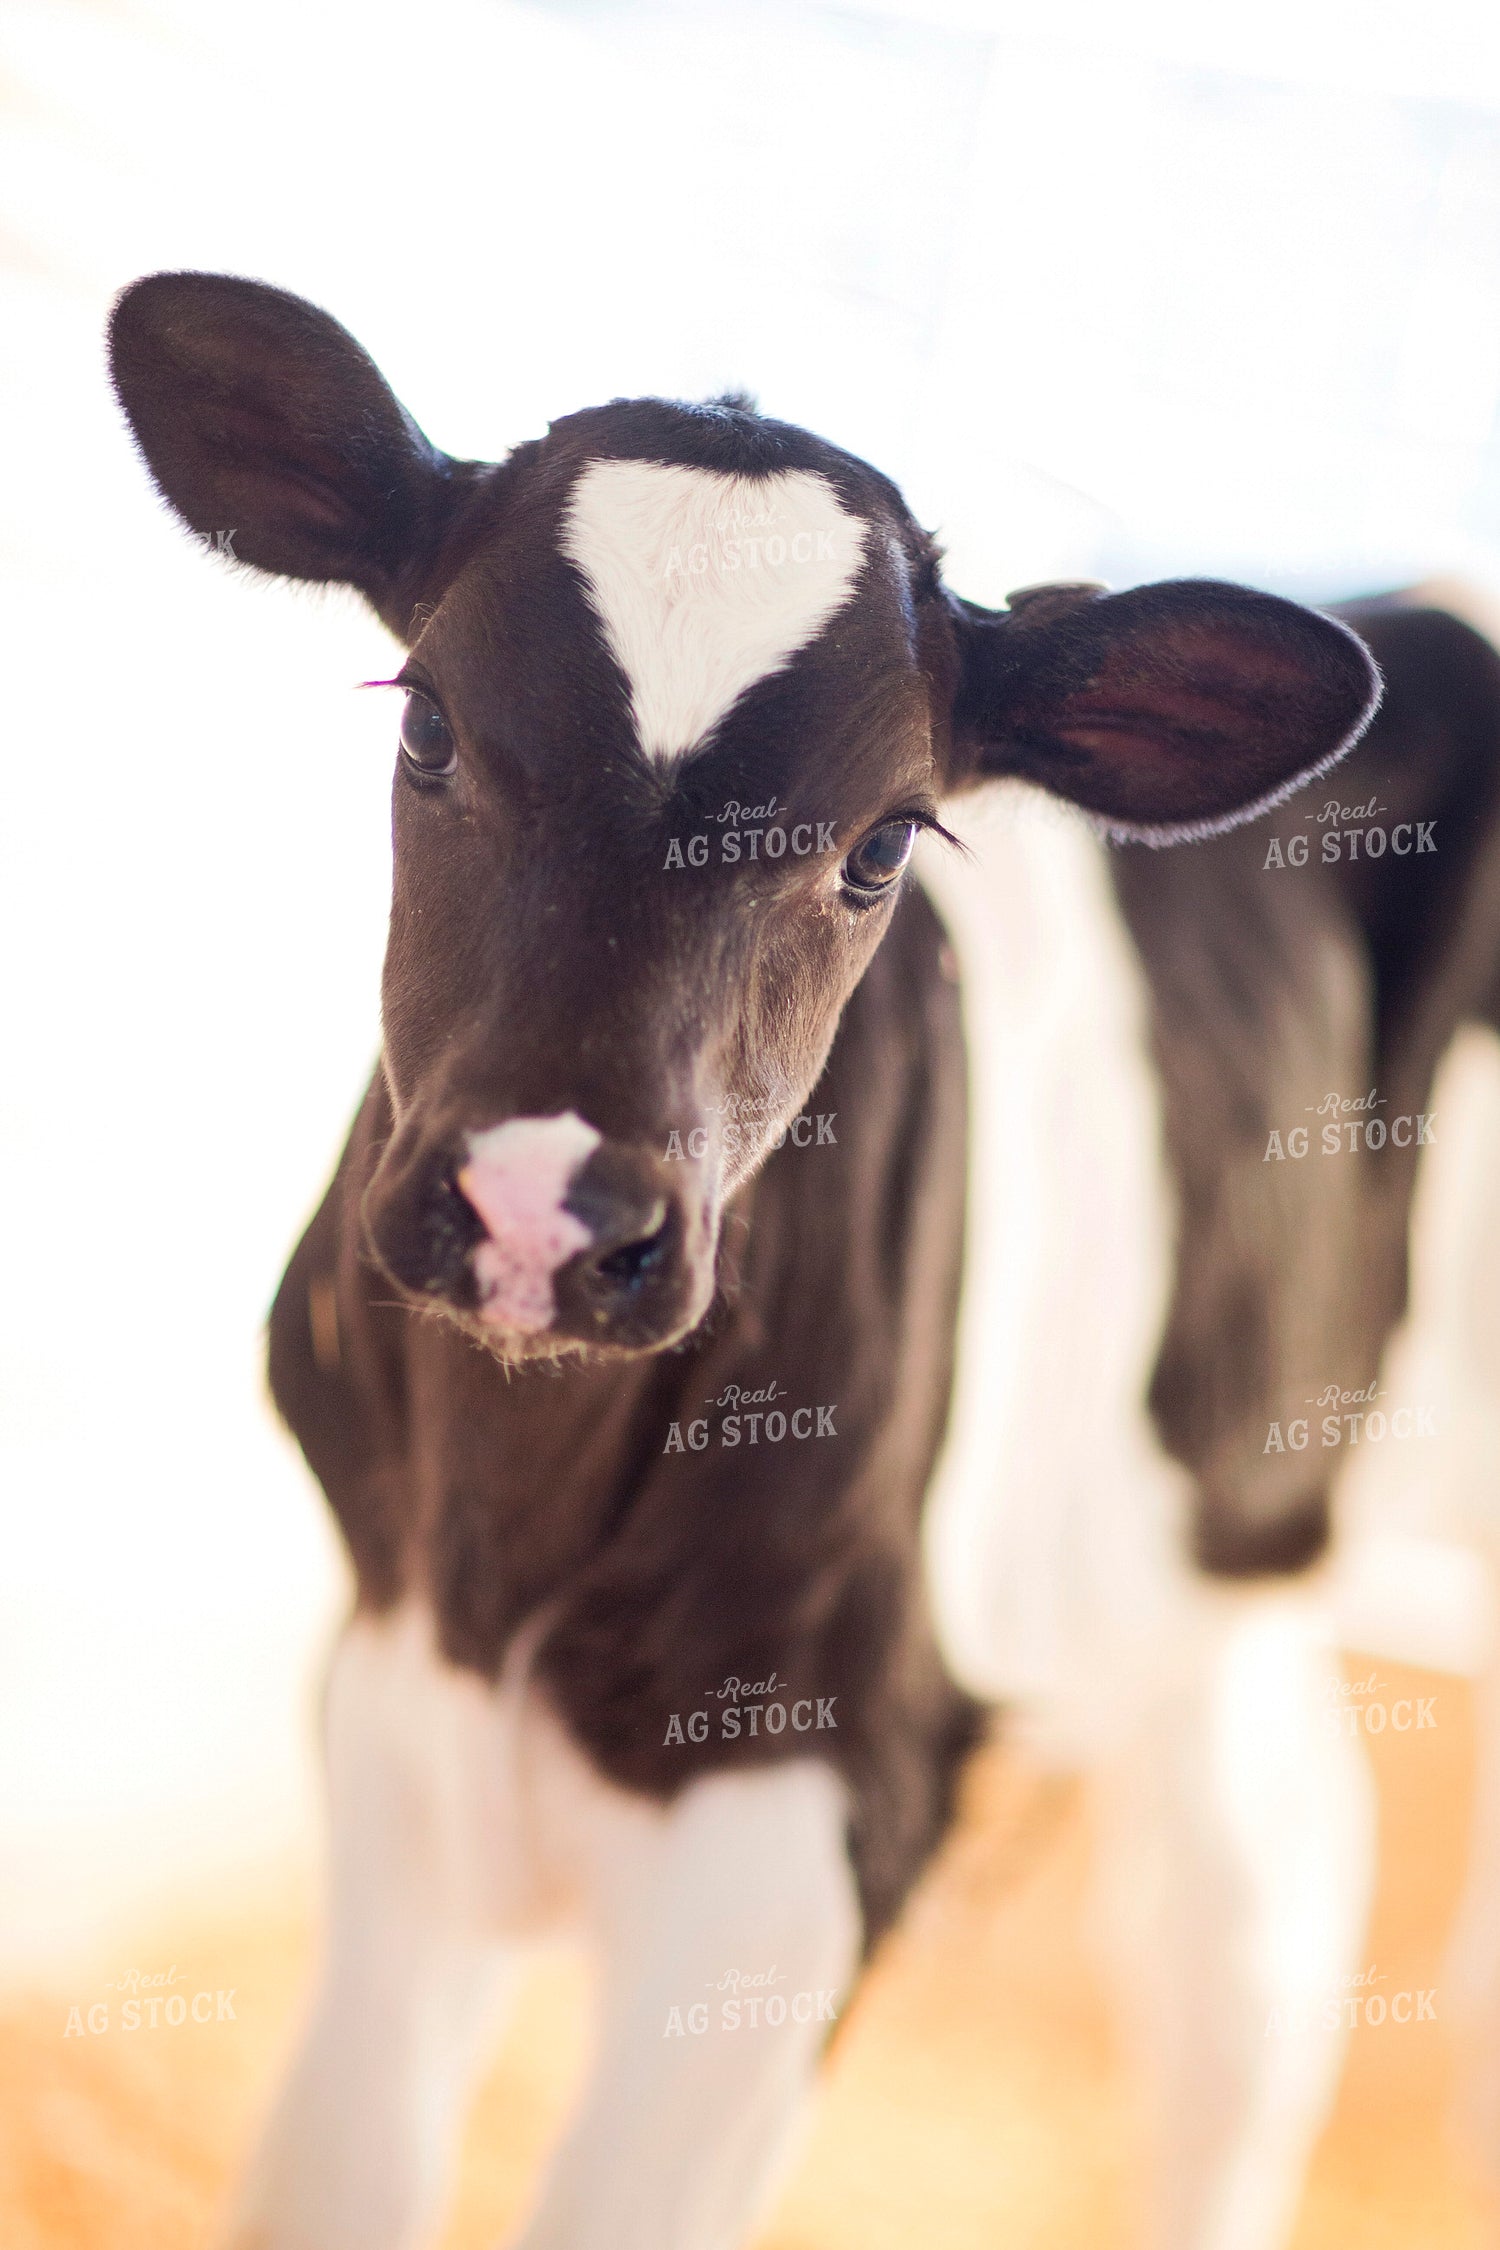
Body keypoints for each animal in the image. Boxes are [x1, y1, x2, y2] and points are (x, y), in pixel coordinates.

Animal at [106, 269, 1500, 2250]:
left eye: (881, 844)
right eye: (429, 723)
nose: (542, 1208)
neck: (511, 1554)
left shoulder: (816, 1816)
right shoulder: (393, 1698)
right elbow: (330, 2172)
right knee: (1260, 1896)